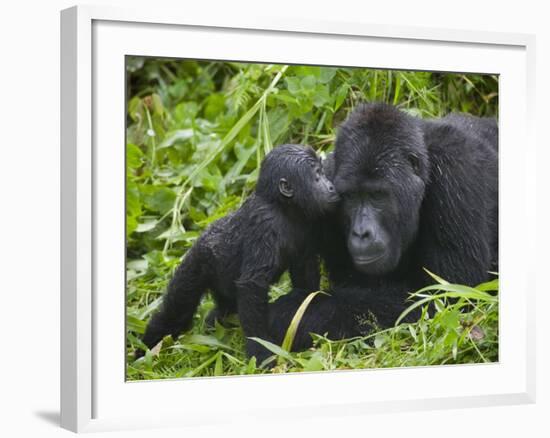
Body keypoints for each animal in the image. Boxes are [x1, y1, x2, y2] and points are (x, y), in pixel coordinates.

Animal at [136, 144, 338, 362]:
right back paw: (146, 350)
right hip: (196, 262)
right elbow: (252, 285)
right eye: (317, 175)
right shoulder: (264, 223)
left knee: (224, 307)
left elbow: (304, 274)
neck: (282, 206)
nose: (331, 186)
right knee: (175, 311)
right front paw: (261, 349)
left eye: (322, 172)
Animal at [270, 102, 500, 350]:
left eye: (377, 195)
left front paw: (291, 314)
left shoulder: (455, 172)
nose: (361, 233)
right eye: (350, 196)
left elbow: (447, 296)